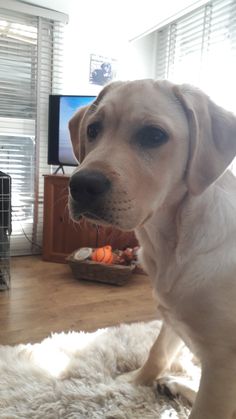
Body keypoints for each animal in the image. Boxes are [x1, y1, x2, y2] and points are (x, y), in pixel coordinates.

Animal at [68, 80, 236, 418]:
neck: (172, 241)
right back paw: (174, 384)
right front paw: (133, 383)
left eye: (154, 136)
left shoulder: (223, 364)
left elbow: (205, 410)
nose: (80, 185)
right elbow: (157, 352)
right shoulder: (172, 316)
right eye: (93, 129)